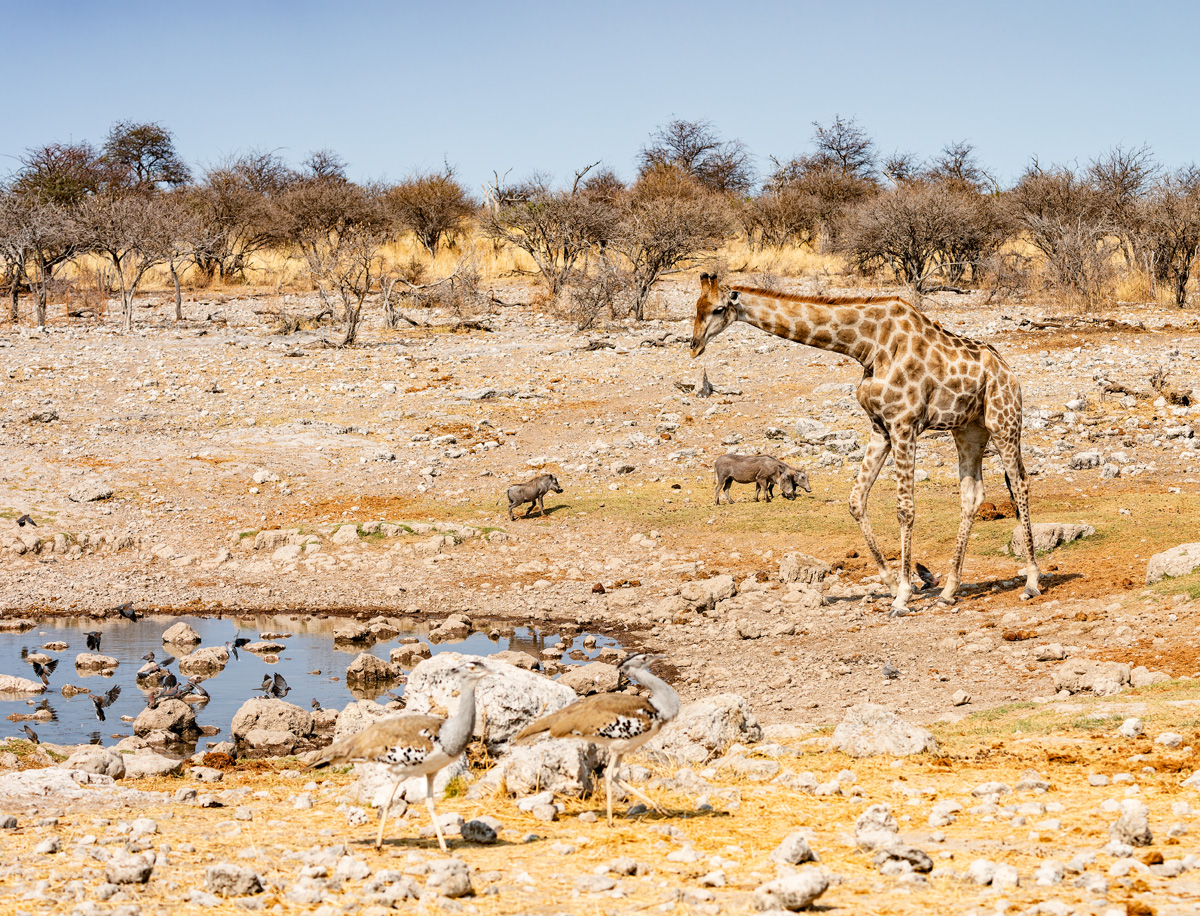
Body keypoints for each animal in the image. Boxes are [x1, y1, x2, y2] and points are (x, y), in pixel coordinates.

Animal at [690, 273, 1040, 617]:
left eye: (718, 309)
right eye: (697, 307)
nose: (694, 347)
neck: (867, 345)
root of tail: (1009, 371)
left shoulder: (904, 425)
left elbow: (905, 509)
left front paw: (902, 597)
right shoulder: (880, 427)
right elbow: (856, 500)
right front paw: (893, 584)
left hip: (1005, 423)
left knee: (1021, 483)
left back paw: (1031, 583)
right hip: (968, 430)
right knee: (972, 494)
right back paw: (949, 591)